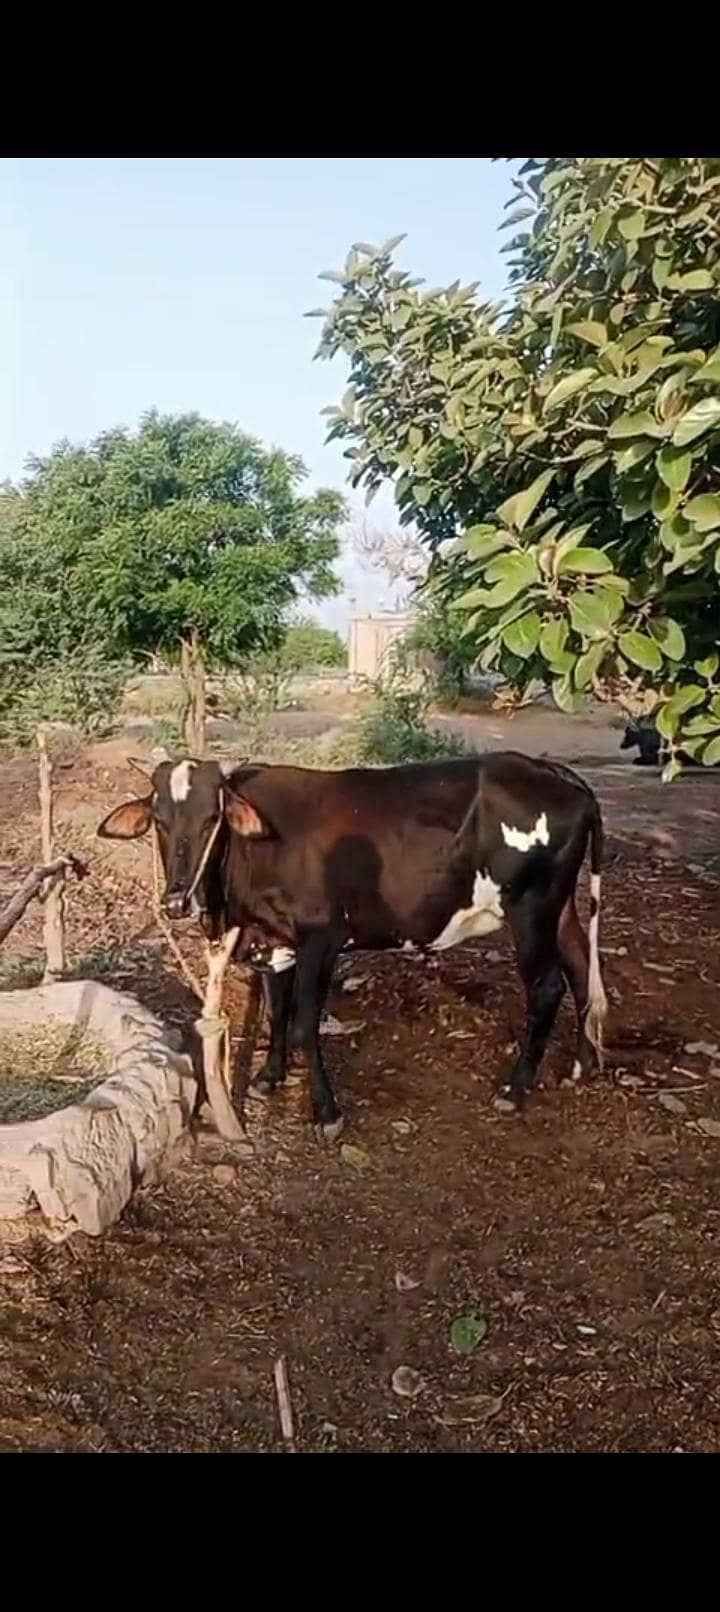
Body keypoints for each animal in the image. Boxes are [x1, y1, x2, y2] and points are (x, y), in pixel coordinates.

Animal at [97, 754, 607, 1139]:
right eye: (159, 821)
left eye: (212, 819)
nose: (176, 899)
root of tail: (557, 773)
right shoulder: (275, 941)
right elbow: (277, 1011)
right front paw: (269, 1078)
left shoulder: (321, 940)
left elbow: (305, 1024)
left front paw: (326, 1112)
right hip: (560, 910)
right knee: (582, 969)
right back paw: (583, 1065)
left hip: (530, 910)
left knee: (548, 987)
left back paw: (515, 1090)